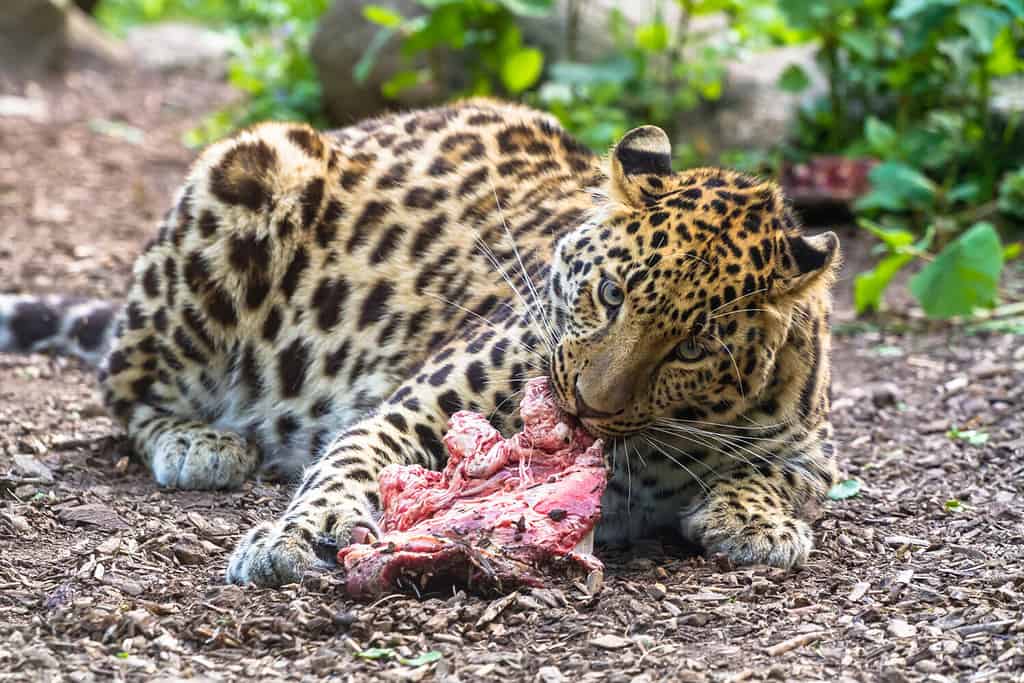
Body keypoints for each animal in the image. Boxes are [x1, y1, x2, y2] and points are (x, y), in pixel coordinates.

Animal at [0, 97, 839, 589]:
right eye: (610, 295)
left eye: (693, 348)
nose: (586, 409)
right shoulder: (413, 409)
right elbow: (348, 464)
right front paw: (298, 535)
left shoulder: (814, 449)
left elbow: (780, 474)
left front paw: (755, 522)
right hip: (253, 167)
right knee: (125, 386)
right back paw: (198, 442)